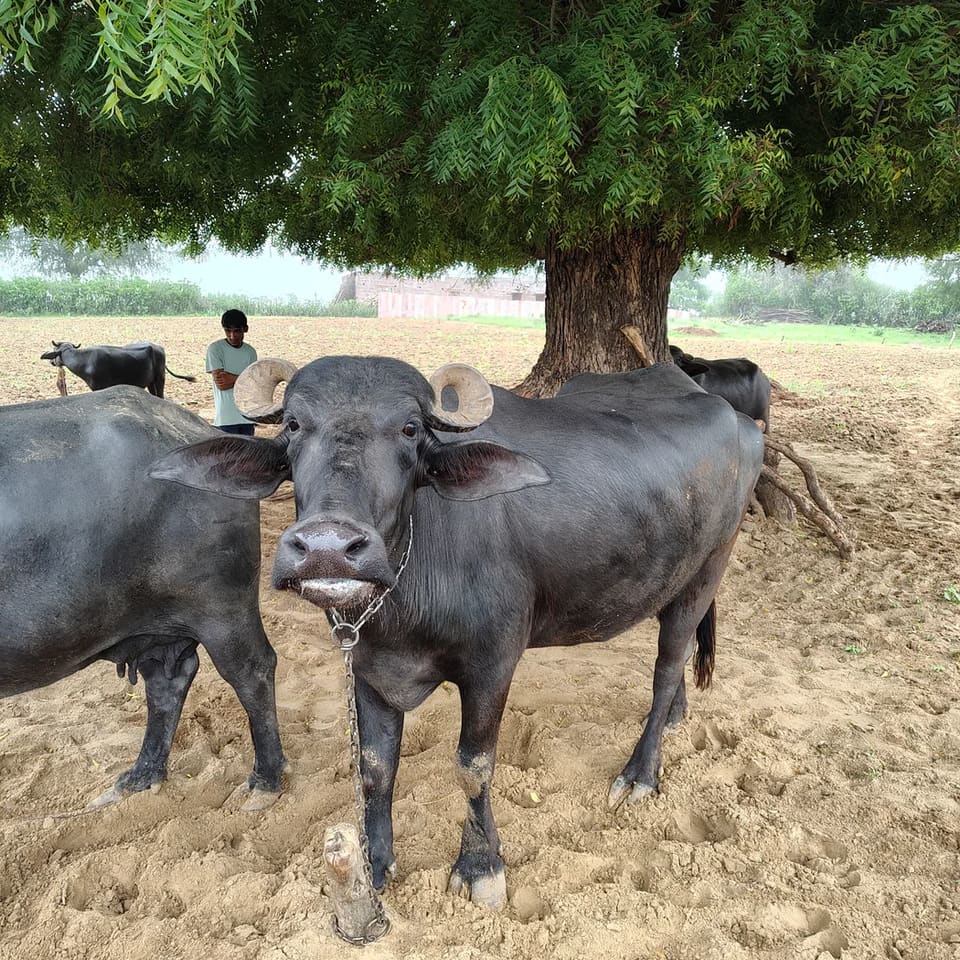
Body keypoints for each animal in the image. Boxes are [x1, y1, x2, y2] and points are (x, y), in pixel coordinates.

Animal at [40, 340, 196, 398]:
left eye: (54, 350)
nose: (52, 362)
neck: (85, 360)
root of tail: (157, 347)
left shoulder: (99, 387)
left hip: (160, 378)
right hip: (151, 382)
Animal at [152, 356, 763, 909]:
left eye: (410, 428)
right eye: (295, 425)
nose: (328, 547)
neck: (408, 590)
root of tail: (738, 419)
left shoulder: (493, 665)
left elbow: (473, 768)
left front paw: (479, 867)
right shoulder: (366, 667)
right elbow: (375, 769)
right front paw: (375, 866)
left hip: (707, 572)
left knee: (666, 667)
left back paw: (639, 773)